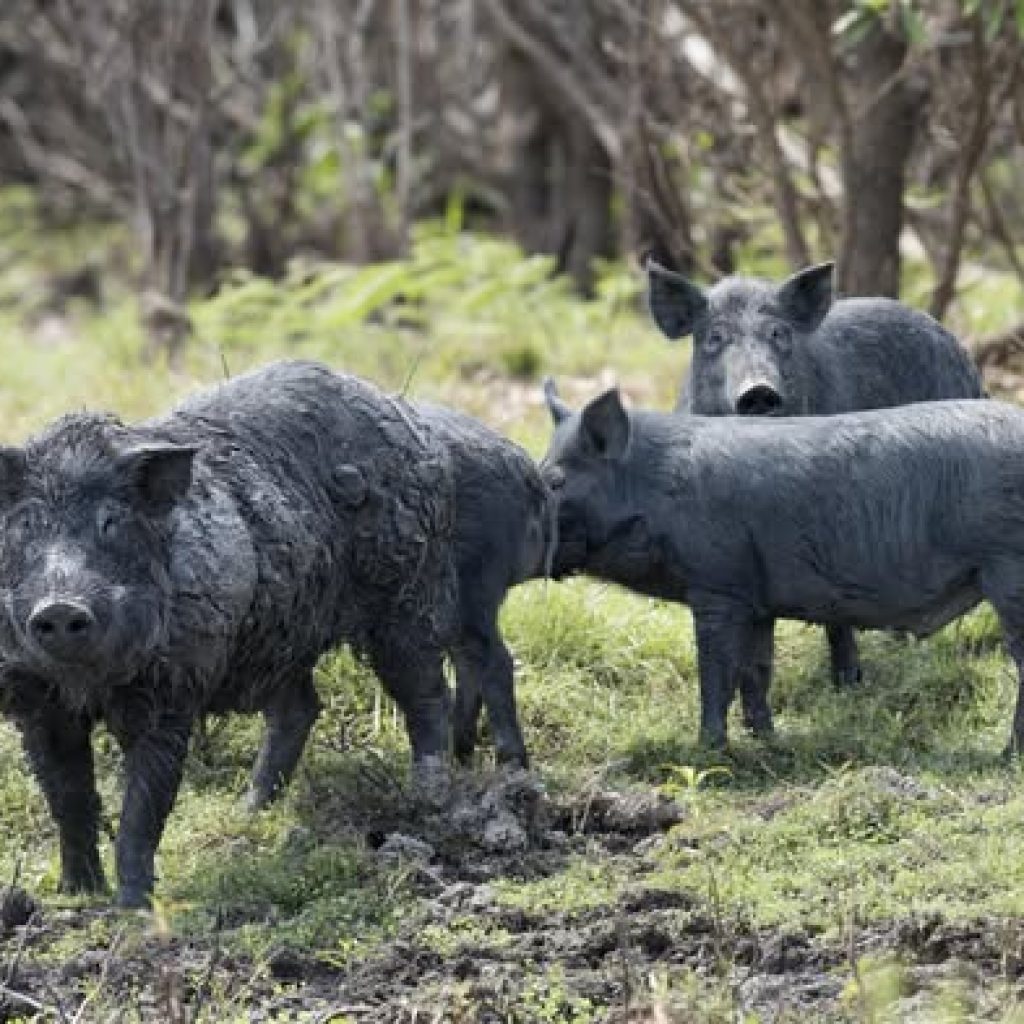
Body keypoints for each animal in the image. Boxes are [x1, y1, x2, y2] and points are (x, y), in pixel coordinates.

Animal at [0, 360, 458, 907]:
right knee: (301, 708)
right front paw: (76, 896)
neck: (86, 685)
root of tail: (402, 414)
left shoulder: (173, 689)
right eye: (25, 525)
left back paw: (429, 798)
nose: (60, 606)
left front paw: (132, 909)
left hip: (404, 594)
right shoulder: (35, 703)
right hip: (282, 639)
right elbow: (67, 800)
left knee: (427, 692)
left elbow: (143, 809)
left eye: (111, 523)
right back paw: (250, 810)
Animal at [417, 405, 554, 768]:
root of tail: (528, 474)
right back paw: (460, 751)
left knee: (495, 660)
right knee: (469, 661)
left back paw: (510, 763)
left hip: (469, 583)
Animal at [541, 382, 1024, 753]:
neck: (654, 490)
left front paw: (708, 751)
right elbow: (756, 672)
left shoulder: (717, 587)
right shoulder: (757, 601)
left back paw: (1007, 756)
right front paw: (769, 742)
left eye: (555, 481)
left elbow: (716, 672)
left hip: (1008, 571)